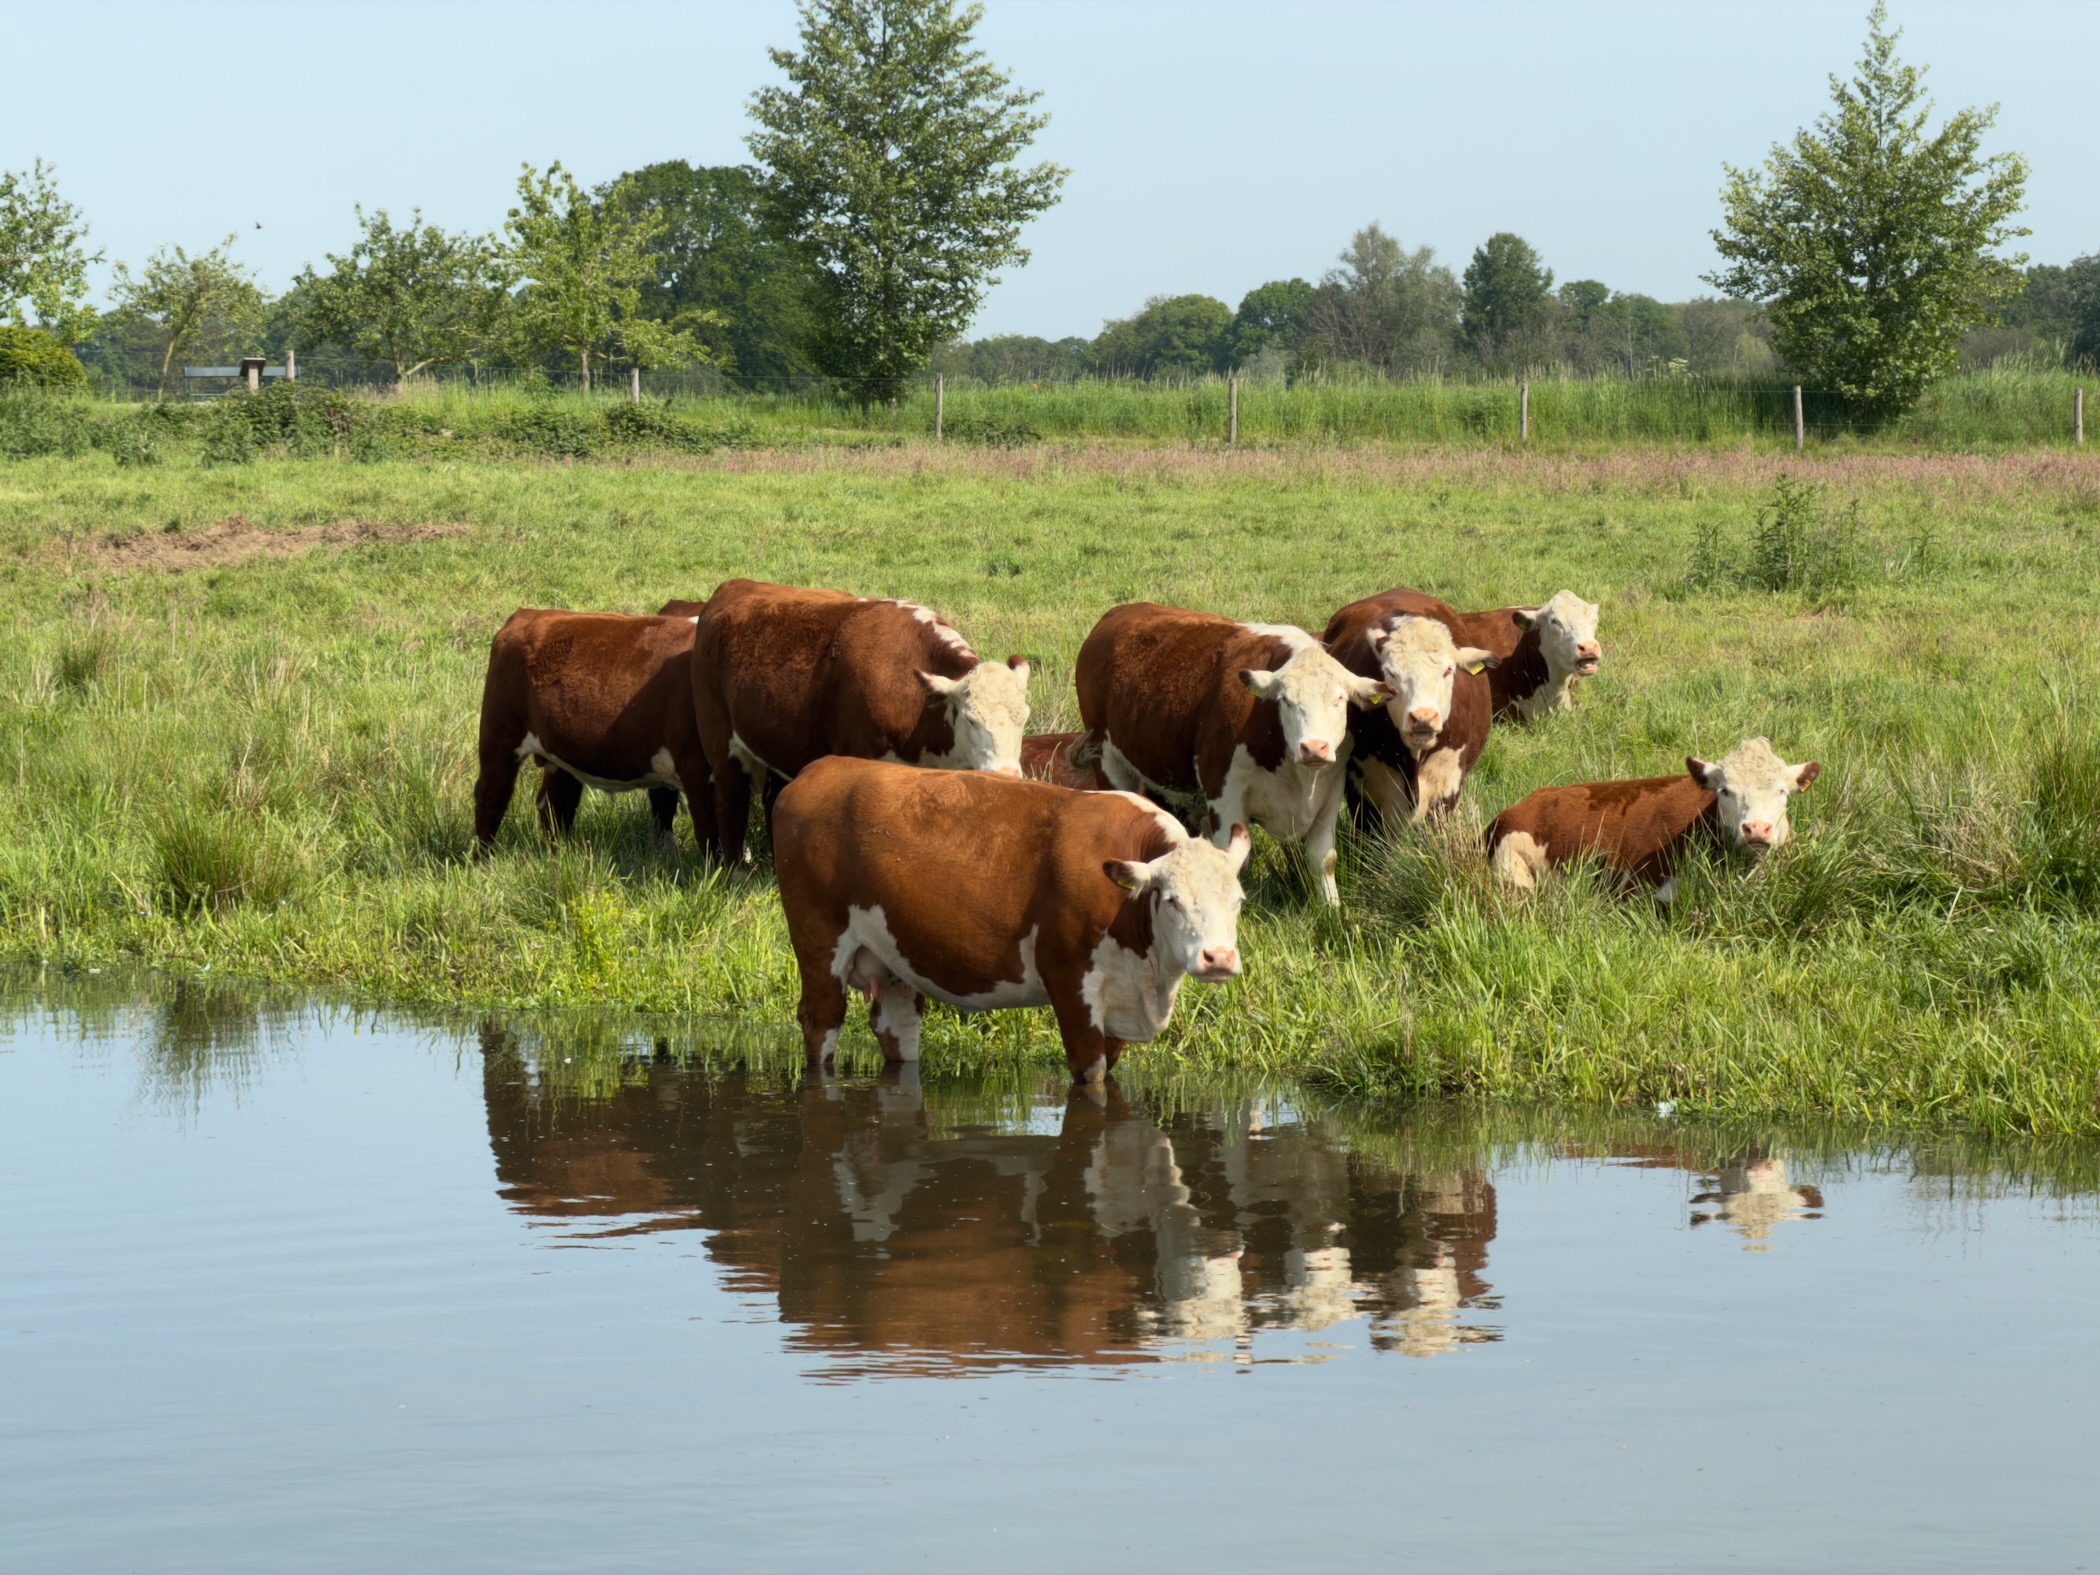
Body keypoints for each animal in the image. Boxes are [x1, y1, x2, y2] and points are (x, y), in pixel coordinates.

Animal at [472, 609, 713, 857]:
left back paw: (558, 857)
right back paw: (483, 860)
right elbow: (712, 834)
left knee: (555, 805)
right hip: (500, 737)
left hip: (558, 755)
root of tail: (527, 614)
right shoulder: (697, 768)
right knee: (491, 798)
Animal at [691, 579, 1032, 865]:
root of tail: (734, 586)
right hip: (721, 748)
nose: (1007, 776)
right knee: (730, 806)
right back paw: (736, 872)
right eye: (971, 720)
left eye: (1024, 719)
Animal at [772, 756, 1251, 1085]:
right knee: (821, 1020)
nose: (1218, 958)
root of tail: (821, 768)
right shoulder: (1068, 982)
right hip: (819, 940)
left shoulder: (1119, 1000)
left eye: (1239, 901)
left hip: (893, 960)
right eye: (1172, 900)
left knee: (895, 1024)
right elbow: (1091, 1076)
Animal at [1073, 603, 1389, 907]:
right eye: (1285, 700)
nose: (1313, 747)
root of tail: (1118, 614)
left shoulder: (1329, 790)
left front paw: (1332, 909)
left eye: (1339, 699)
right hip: (1107, 761)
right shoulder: (1224, 796)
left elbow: (1323, 859)